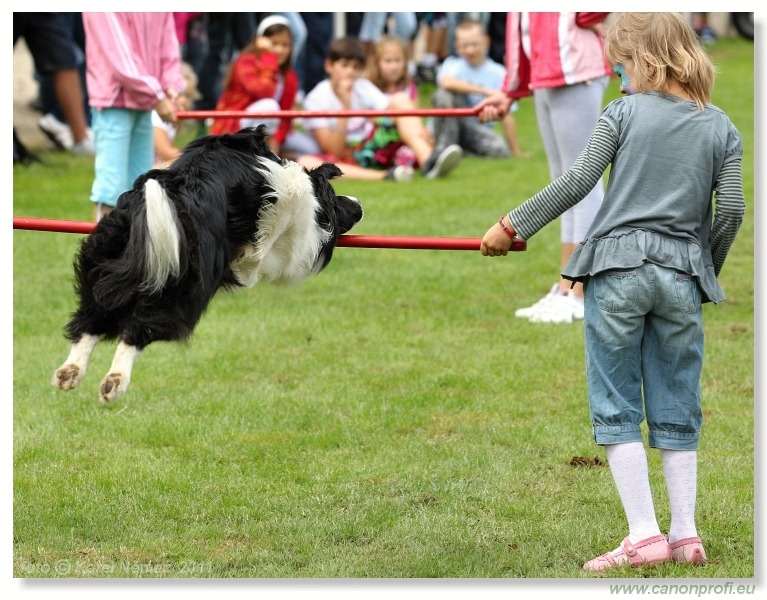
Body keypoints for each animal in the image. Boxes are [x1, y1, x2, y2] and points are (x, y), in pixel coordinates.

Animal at [53, 126, 364, 404]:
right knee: (136, 331)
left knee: (92, 318)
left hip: (104, 262)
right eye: (335, 198)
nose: (359, 205)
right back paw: (115, 380)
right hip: (183, 289)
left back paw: (71, 371)